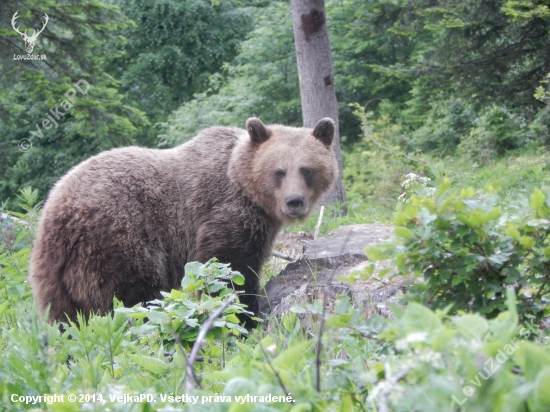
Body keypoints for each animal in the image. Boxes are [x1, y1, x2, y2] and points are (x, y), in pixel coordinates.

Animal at [30, 118, 340, 326]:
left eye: (307, 169)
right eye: (279, 171)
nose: (294, 202)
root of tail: (62, 213)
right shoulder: (223, 213)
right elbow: (228, 269)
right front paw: (246, 316)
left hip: (52, 272)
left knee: (64, 318)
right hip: (119, 238)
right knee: (136, 297)